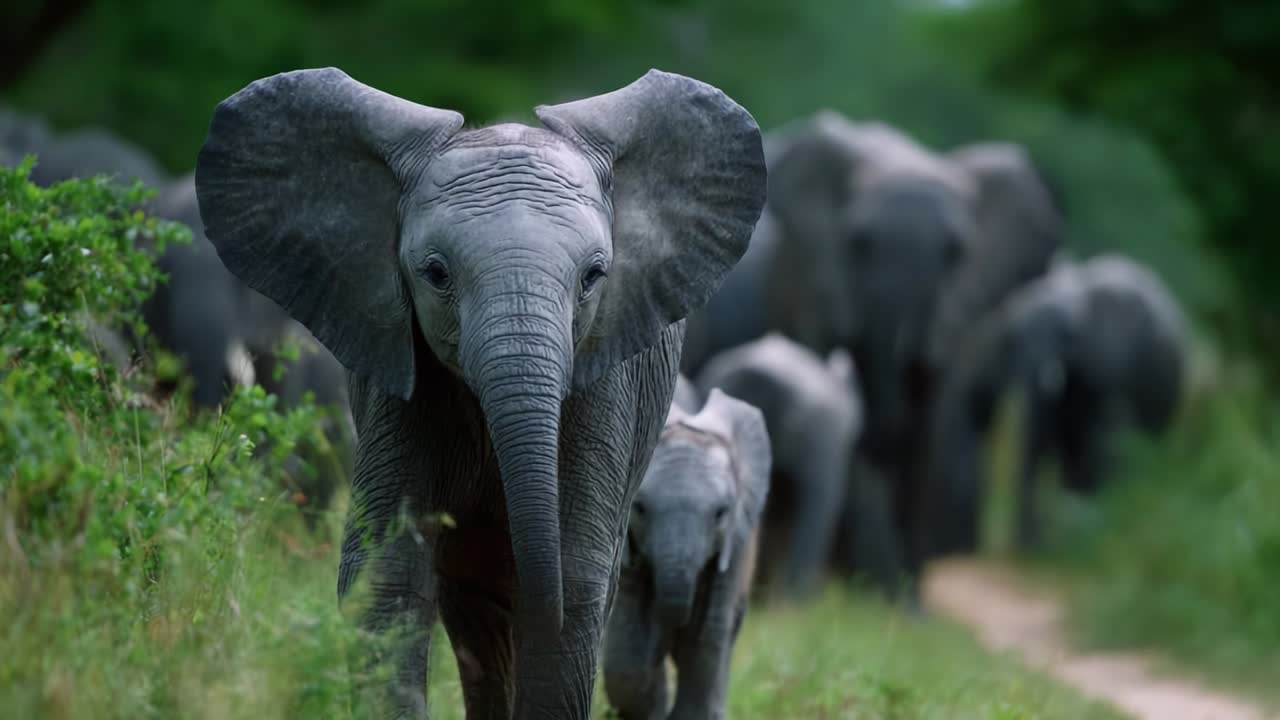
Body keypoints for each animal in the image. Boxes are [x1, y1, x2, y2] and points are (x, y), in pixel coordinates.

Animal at [604, 388, 770, 720]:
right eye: (640, 509)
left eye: (721, 513)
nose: (664, 642)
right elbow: (627, 652)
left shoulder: (735, 544)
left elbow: (704, 639)